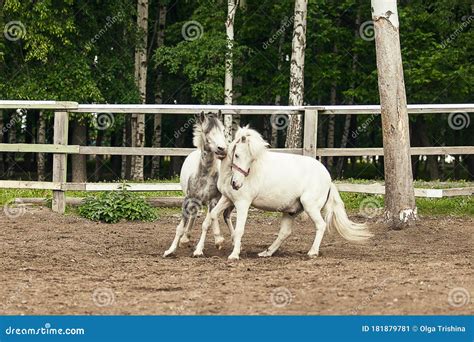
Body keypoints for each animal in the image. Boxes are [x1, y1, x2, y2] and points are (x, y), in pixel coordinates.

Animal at [194, 125, 372, 260]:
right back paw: (266, 253)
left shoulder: (242, 204)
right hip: (290, 210)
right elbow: (209, 219)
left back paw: (312, 252)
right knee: (284, 233)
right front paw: (200, 250)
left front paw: (234, 254)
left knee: (320, 225)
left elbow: (239, 230)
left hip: (310, 206)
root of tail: (328, 179)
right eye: (236, 155)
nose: (236, 184)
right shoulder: (227, 199)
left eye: (251, 159)